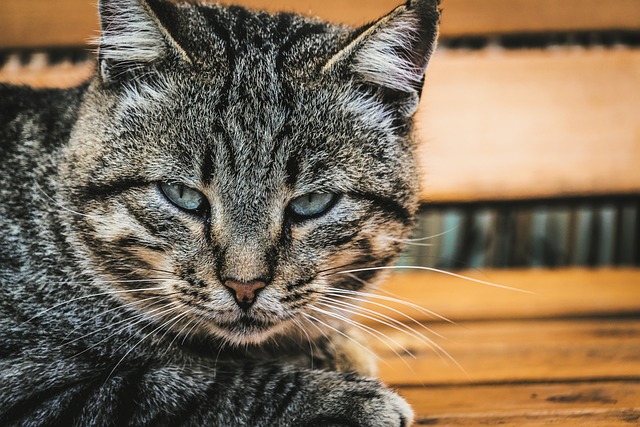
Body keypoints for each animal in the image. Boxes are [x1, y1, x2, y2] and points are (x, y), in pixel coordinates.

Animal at [0, 0, 440, 424]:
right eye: (181, 194)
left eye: (311, 203)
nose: (245, 286)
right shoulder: (35, 386)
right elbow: (198, 389)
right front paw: (339, 396)